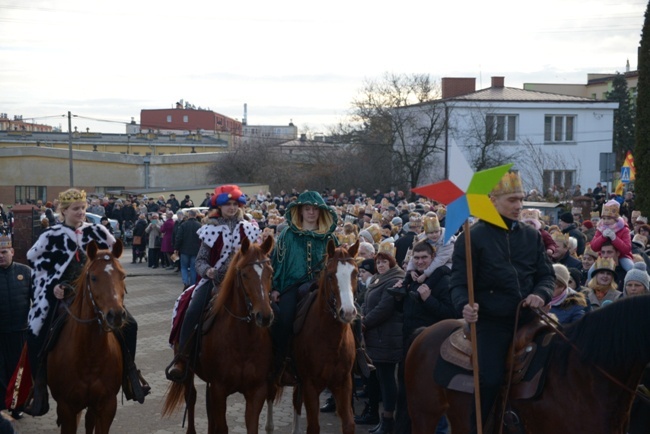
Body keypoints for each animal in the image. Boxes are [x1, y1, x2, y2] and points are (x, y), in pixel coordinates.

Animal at [47, 239, 127, 432]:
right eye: (94, 277)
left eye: (123, 276)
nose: (116, 315)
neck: (90, 355)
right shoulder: (66, 407)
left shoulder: (107, 406)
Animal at [163, 236, 274, 434]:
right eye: (244, 275)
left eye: (270, 272)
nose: (265, 316)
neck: (243, 342)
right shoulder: (219, 389)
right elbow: (222, 426)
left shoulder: (256, 391)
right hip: (188, 371)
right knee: (191, 397)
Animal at [290, 239, 356, 432]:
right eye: (330, 275)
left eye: (355, 273)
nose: (347, 312)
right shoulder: (310, 385)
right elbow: (313, 426)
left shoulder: (344, 383)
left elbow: (349, 423)